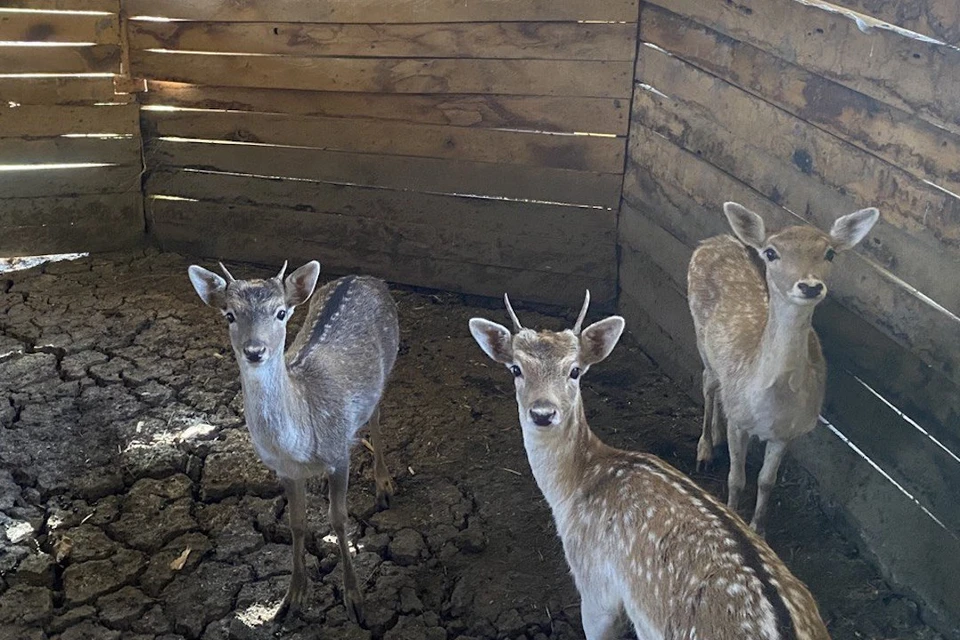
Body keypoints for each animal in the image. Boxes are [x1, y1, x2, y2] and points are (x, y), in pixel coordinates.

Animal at [189, 260, 400, 624]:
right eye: (229, 314)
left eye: (280, 312)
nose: (255, 351)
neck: (299, 443)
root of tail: (364, 277)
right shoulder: (284, 471)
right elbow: (297, 524)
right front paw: (291, 599)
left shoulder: (338, 451)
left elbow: (338, 520)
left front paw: (355, 599)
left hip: (386, 367)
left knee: (374, 416)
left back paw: (384, 485)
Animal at [688, 202, 880, 532]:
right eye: (770, 252)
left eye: (830, 253)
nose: (810, 286)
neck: (772, 400)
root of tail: (713, 240)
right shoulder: (741, 421)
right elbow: (736, 479)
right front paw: (734, 515)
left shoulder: (788, 432)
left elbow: (766, 481)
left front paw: (758, 529)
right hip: (701, 339)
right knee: (708, 383)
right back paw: (705, 449)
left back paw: (717, 436)